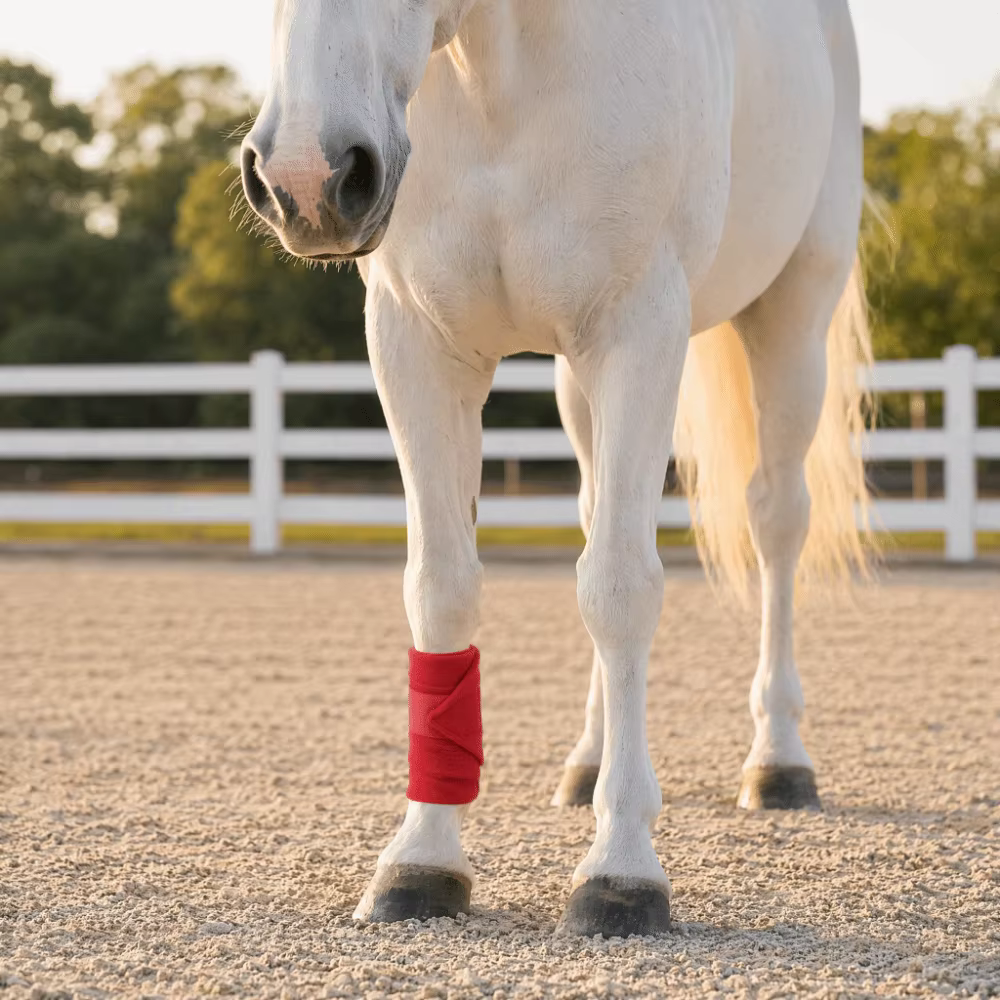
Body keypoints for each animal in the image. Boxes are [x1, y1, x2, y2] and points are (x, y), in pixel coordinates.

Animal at [240, 0, 874, 939]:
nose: (307, 181)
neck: (499, 77)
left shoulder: (638, 328)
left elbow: (618, 589)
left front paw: (621, 874)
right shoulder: (414, 341)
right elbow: (442, 589)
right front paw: (420, 862)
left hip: (792, 311)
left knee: (776, 522)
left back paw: (780, 762)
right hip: (578, 378)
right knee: (593, 511)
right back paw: (589, 760)